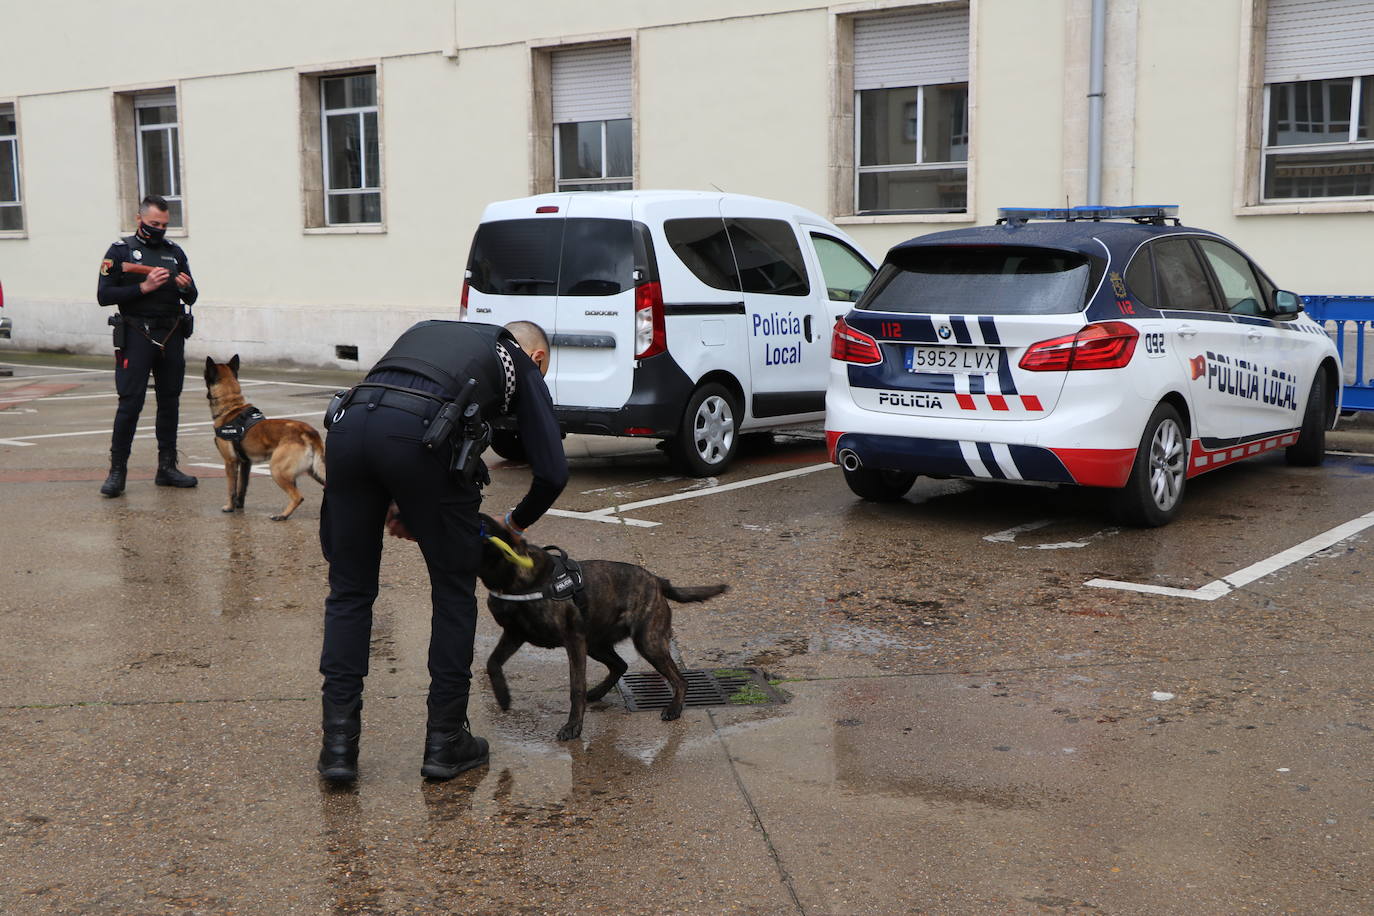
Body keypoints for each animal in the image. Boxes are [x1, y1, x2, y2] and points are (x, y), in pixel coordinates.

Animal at [201, 354, 325, 519]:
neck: (231, 407)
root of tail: (308, 431)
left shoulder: (230, 462)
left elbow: (231, 489)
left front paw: (229, 507)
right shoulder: (246, 463)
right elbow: (242, 487)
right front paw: (239, 506)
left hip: (277, 470)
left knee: (298, 497)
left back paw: (282, 515)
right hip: (315, 472)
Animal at [475, 516, 730, 747]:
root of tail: (657, 581)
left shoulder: (573, 641)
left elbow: (576, 687)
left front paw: (573, 726)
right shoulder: (514, 634)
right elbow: (492, 662)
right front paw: (503, 696)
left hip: (647, 642)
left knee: (679, 679)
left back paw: (674, 708)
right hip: (596, 645)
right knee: (620, 665)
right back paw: (598, 692)